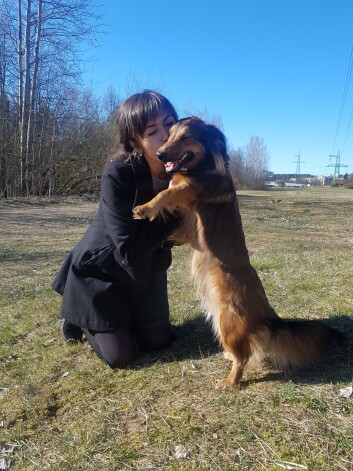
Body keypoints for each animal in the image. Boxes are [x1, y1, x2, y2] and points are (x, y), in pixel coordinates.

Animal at [133, 118, 344, 390]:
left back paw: (230, 381)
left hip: (228, 323)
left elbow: (166, 192)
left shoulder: (191, 189)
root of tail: (266, 316)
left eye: (185, 137)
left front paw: (145, 208)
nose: (159, 154)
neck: (204, 166)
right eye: (168, 135)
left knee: (243, 357)